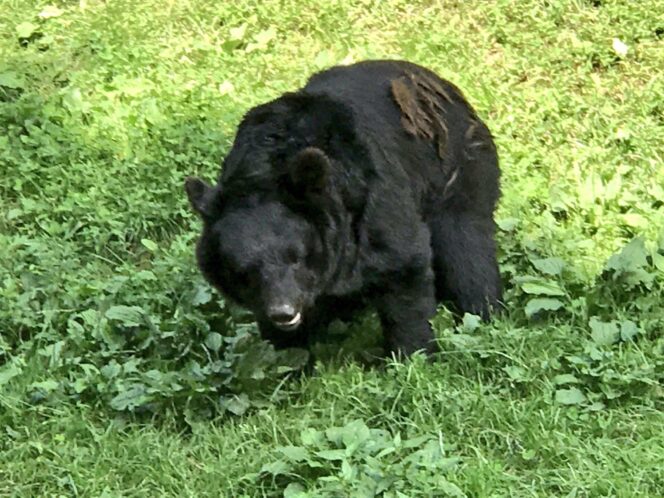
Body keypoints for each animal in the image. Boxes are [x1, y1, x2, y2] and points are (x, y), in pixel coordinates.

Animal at [185, 60, 501, 356]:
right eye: (244, 270)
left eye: (295, 257)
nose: (283, 312)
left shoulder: (373, 201)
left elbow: (403, 265)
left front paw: (412, 354)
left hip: (457, 173)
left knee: (466, 252)